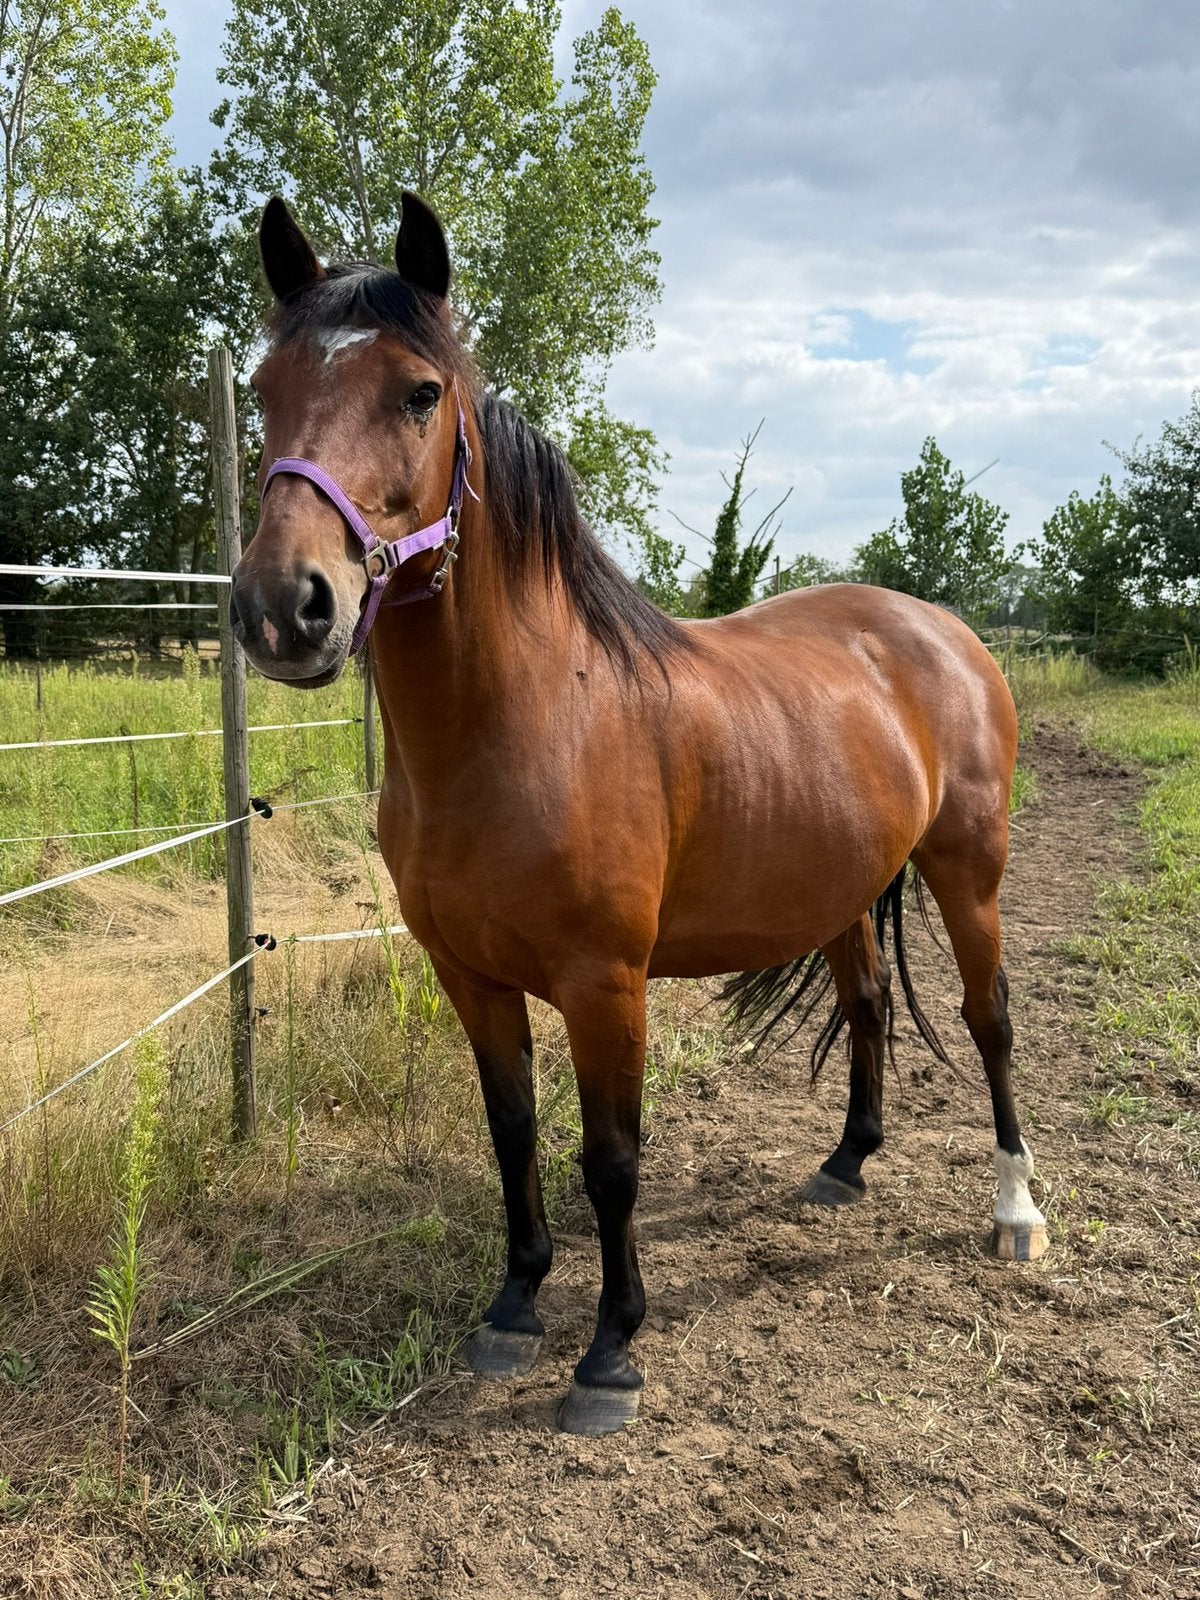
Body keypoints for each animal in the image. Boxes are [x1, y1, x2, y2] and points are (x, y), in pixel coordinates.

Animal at [230, 192, 1048, 1437]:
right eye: (265, 388)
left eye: (419, 392)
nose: (287, 606)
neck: (528, 723)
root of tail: (940, 629)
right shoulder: (470, 976)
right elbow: (513, 1131)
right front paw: (515, 1305)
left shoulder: (603, 981)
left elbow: (611, 1155)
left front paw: (611, 1351)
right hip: (845, 885)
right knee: (866, 1008)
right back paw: (845, 1165)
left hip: (970, 868)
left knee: (988, 1018)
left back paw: (1014, 1212)